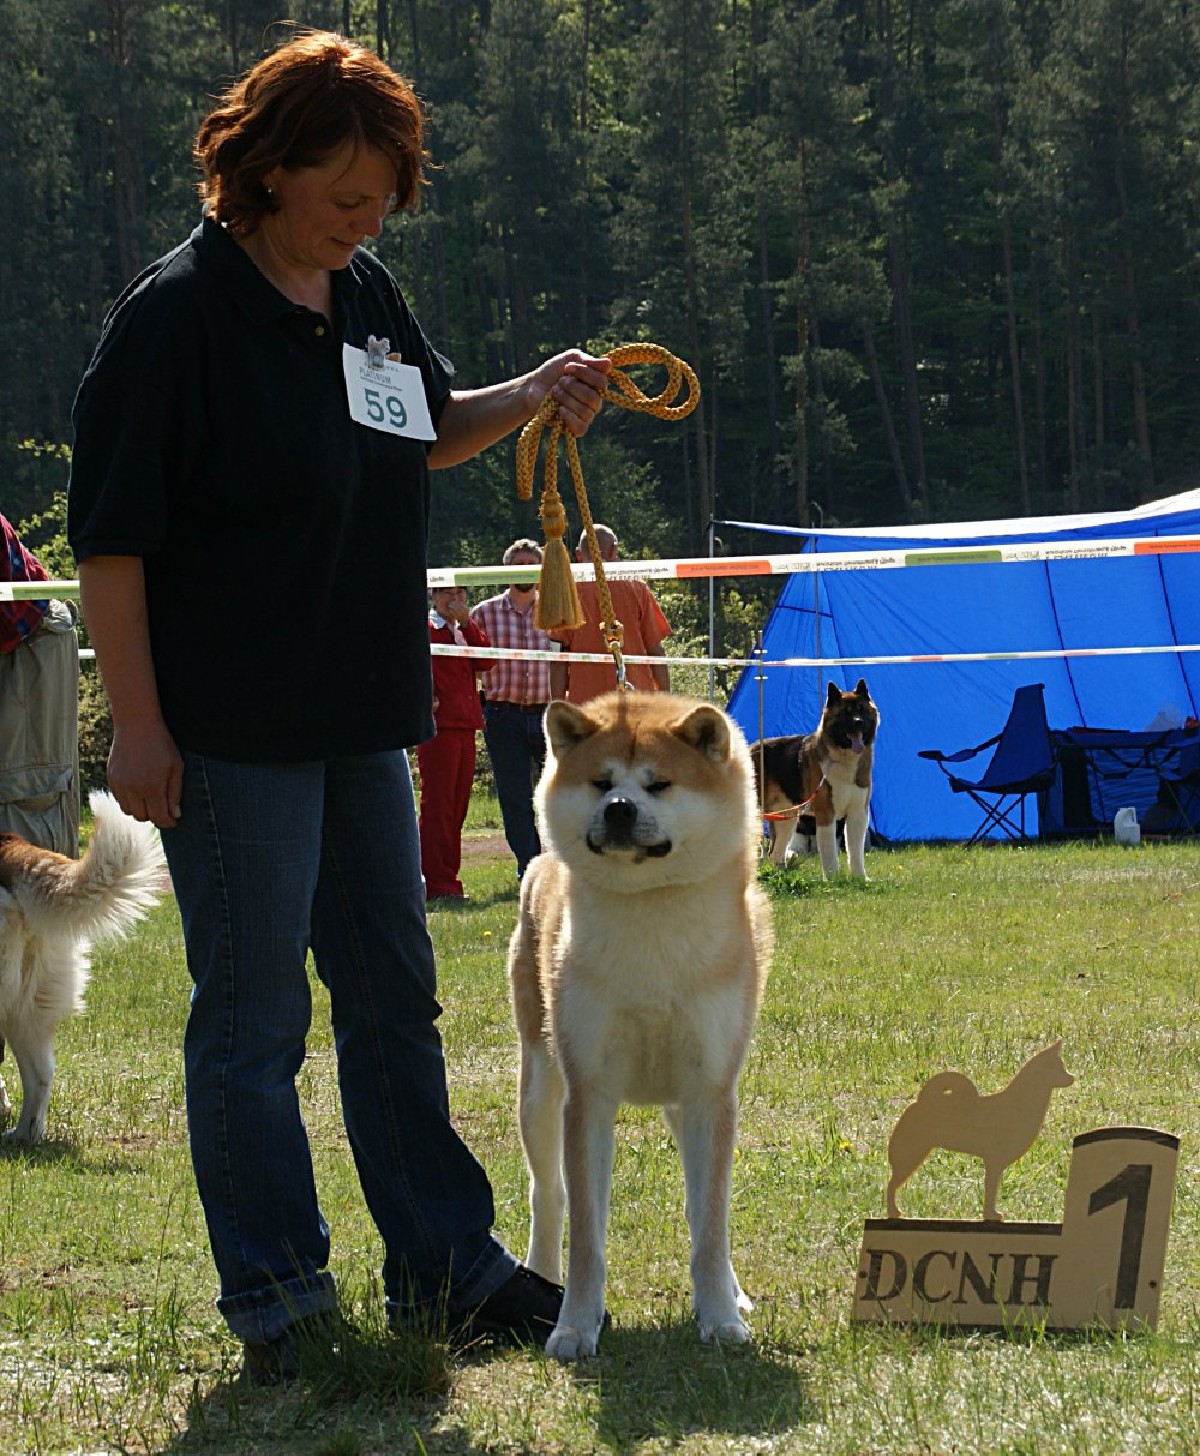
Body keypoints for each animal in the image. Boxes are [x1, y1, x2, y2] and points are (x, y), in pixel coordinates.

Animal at [508, 691, 773, 1359]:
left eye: (659, 784)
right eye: (602, 783)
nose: (620, 809)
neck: (651, 915)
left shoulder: (710, 1092)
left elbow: (710, 1224)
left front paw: (720, 1316)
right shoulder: (588, 1094)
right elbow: (585, 1233)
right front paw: (575, 1325)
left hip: (685, 1102)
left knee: (701, 1208)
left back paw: (733, 1293)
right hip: (539, 1084)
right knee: (546, 1194)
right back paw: (539, 1273)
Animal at [751, 678, 879, 878]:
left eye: (862, 710)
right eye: (845, 713)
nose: (858, 722)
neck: (844, 758)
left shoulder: (858, 813)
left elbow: (855, 851)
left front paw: (860, 878)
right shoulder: (826, 812)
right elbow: (829, 852)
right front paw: (833, 879)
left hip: (787, 817)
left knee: (775, 852)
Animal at [886, 1039, 1075, 1221]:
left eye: (1063, 1066)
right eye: (1058, 1068)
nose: (1072, 1078)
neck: (1019, 1103)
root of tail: (918, 1103)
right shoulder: (994, 1161)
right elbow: (990, 1191)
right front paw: (991, 1215)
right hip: (911, 1155)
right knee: (891, 1185)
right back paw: (894, 1213)